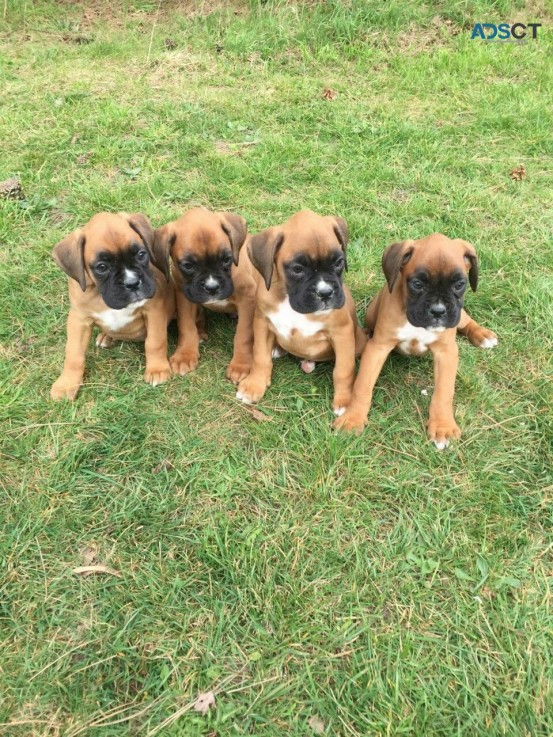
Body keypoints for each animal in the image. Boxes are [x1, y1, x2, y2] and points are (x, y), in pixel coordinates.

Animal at [51, 210, 175, 400]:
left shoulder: (154, 310)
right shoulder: (79, 320)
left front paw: (157, 369)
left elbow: (155, 342)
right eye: (102, 267)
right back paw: (106, 336)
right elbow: (73, 354)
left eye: (141, 254)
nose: (132, 283)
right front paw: (66, 384)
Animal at [154, 206, 256, 382]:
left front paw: (241, 365)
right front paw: (185, 355)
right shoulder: (184, 295)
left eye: (227, 259)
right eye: (188, 265)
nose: (212, 287)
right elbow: (186, 325)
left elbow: (243, 334)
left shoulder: (248, 298)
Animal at [234, 210, 366, 412]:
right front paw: (254, 385)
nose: (325, 292)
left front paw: (345, 401)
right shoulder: (262, 323)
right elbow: (260, 356)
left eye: (338, 262)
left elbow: (343, 370)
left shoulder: (341, 332)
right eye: (297, 269)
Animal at [334, 233, 498, 448]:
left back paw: (482, 335)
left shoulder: (446, 352)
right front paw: (353, 418)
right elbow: (363, 384)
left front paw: (443, 426)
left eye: (459, 285)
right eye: (418, 284)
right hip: (371, 312)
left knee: (466, 319)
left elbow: (444, 391)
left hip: (458, 315)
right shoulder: (378, 348)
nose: (438, 311)